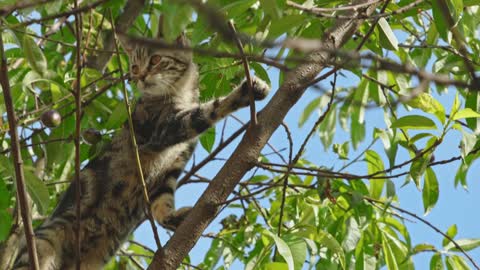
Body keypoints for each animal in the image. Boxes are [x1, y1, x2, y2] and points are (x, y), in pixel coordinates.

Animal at [12, 33, 270, 270]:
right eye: (134, 67)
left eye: (155, 60)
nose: (141, 77)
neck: (181, 93)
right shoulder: (164, 130)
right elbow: (207, 111)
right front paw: (245, 92)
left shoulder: (172, 167)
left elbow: (162, 203)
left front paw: (174, 218)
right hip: (45, 241)